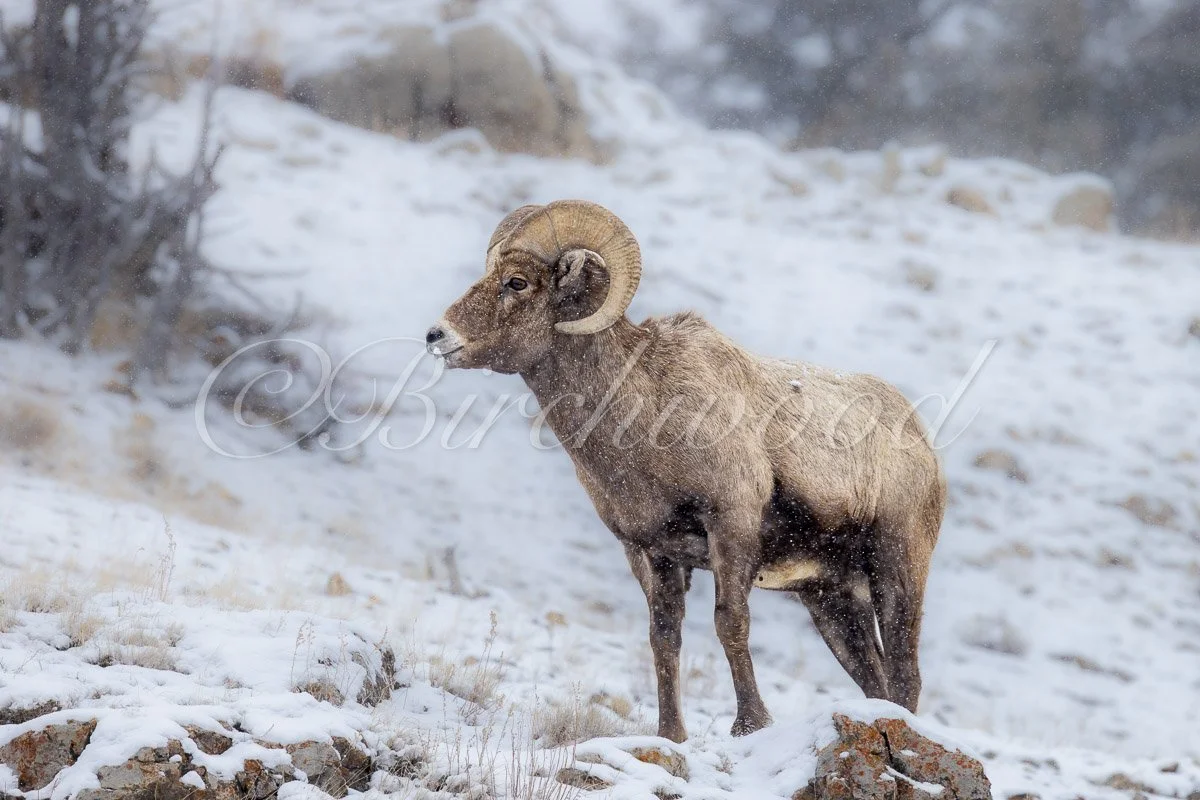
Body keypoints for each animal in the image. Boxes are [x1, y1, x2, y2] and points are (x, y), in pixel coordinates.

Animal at [426, 200, 946, 741]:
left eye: (518, 282)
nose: (437, 336)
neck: (648, 413)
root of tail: (919, 439)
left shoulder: (730, 528)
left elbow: (729, 623)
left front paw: (750, 726)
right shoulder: (652, 551)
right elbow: (663, 638)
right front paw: (670, 735)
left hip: (897, 569)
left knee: (905, 674)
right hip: (830, 599)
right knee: (876, 678)